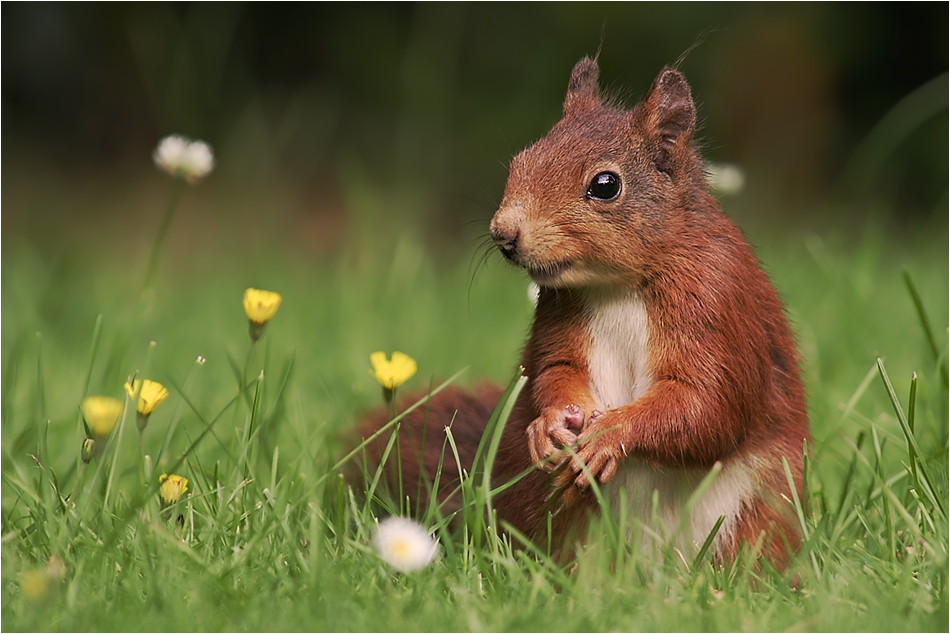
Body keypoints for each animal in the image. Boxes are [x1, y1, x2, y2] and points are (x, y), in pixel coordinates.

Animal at [356, 56, 812, 564]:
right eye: (521, 161)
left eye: (605, 185)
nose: (504, 234)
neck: (618, 286)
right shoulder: (560, 313)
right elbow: (557, 368)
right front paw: (549, 425)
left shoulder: (717, 303)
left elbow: (708, 403)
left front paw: (610, 433)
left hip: (758, 510)